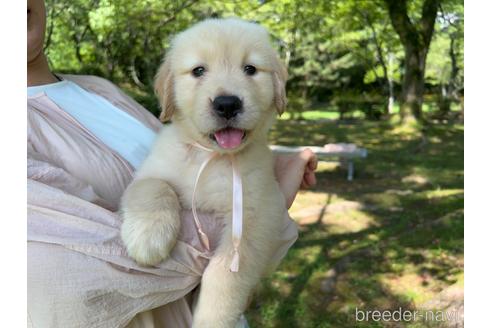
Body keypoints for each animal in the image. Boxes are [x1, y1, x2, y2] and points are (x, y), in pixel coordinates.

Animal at [120, 18, 288, 328]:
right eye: (198, 70)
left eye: (250, 69)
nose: (227, 104)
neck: (211, 157)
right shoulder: (149, 172)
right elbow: (154, 188)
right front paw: (148, 237)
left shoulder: (255, 214)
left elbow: (226, 276)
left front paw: (212, 318)